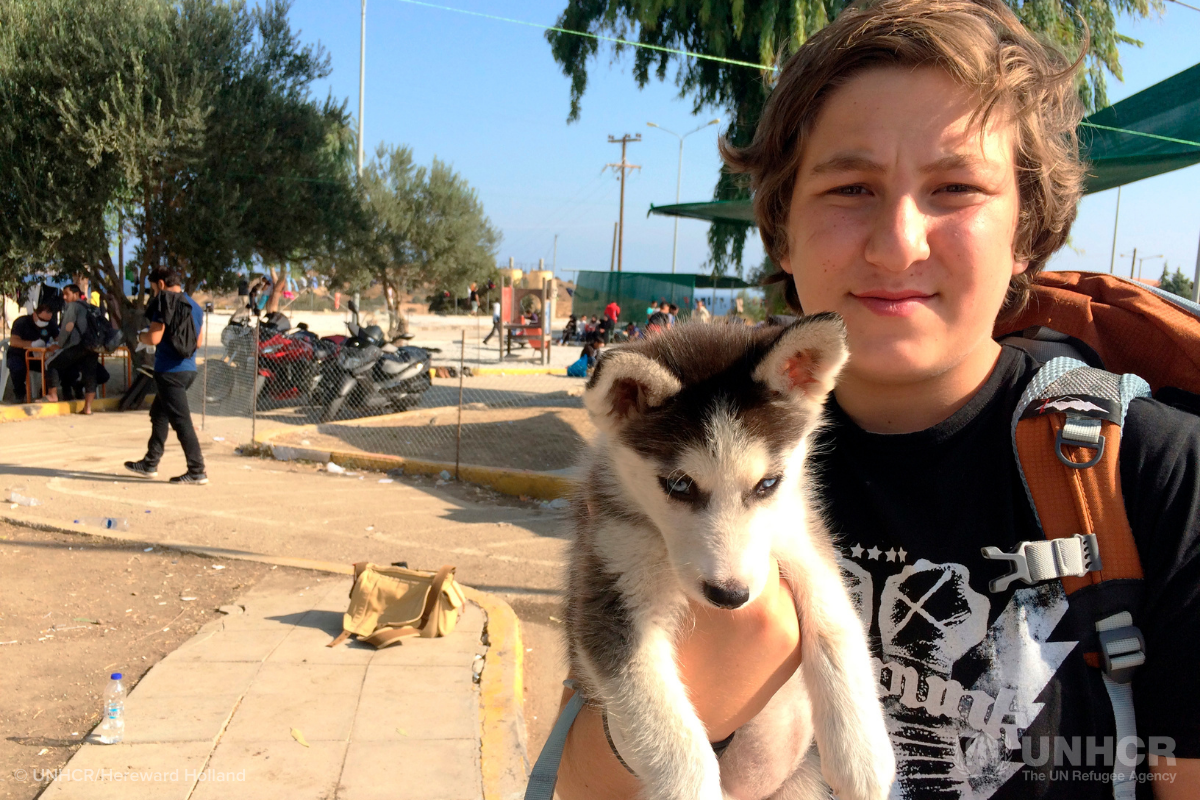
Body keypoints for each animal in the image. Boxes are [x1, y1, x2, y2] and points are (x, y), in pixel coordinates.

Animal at [566, 314, 897, 800]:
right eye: (679, 485)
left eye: (768, 483)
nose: (730, 595)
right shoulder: (610, 582)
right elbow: (668, 732)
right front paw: (690, 783)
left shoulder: (800, 536)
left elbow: (836, 624)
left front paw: (862, 754)